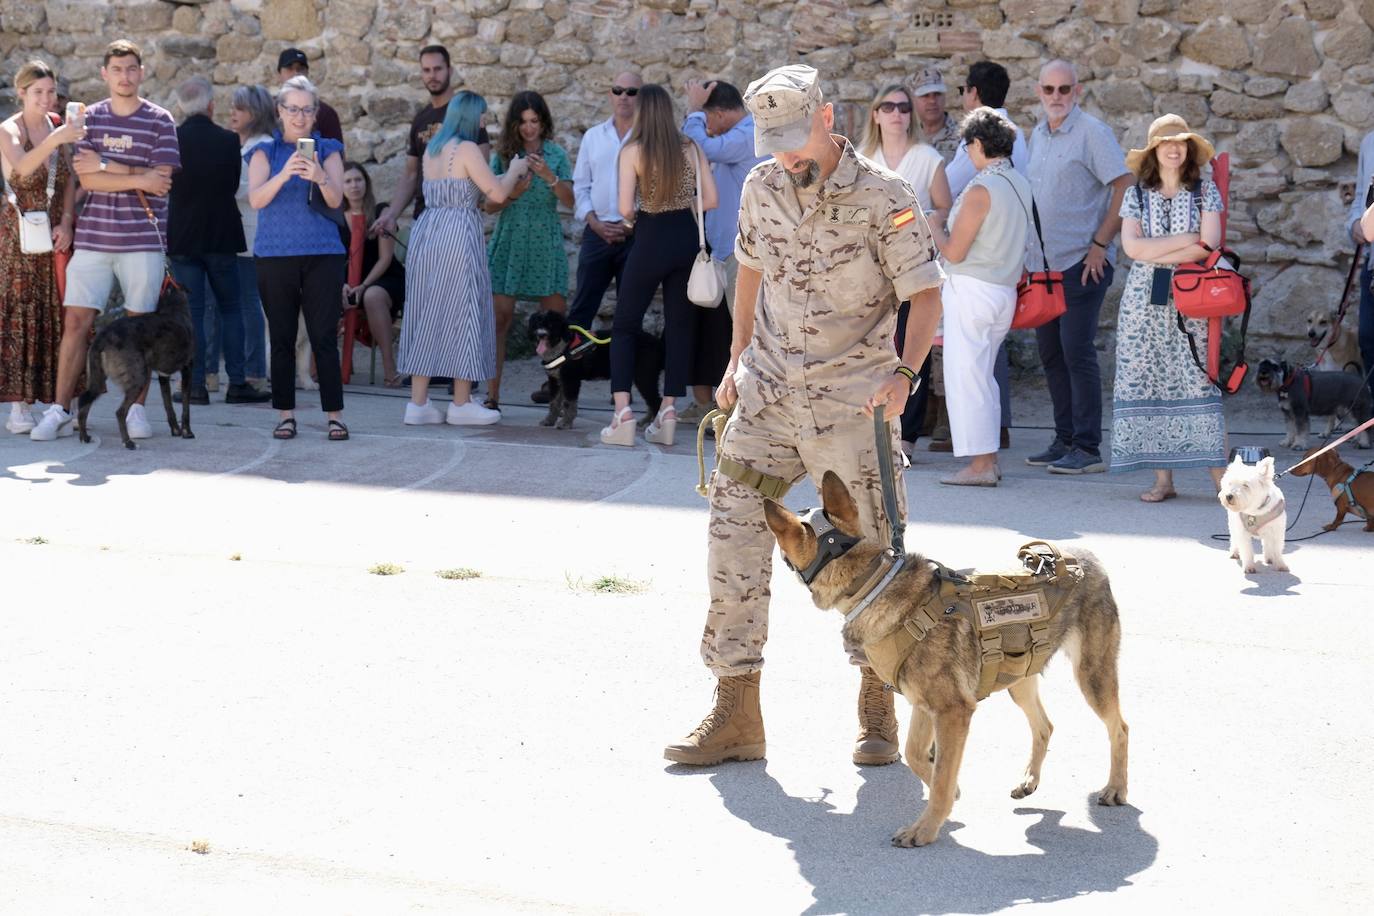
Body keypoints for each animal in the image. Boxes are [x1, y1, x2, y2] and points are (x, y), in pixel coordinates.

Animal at [77, 280, 196, 450]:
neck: (172, 308)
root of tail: (103, 336)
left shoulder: (163, 377)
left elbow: (168, 405)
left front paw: (175, 430)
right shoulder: (188, 369)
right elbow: (186, 406)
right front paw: (187, 432)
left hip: (98, 378)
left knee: (84, 400)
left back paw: (84, 436)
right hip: (138, 377)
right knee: (120, 412)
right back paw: (128, 442)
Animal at [527, 311, 662, 431]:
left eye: (551, 325)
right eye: (537, 325)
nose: (541, 335)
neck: (562, 346)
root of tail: (657, 342)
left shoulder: (571, 380)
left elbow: (568, 403)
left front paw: (565, 423)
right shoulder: (555, 380)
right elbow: (554, 402)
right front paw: (549, 421)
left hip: (644, 376)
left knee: (656, 401)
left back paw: (652, 427)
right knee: (651, 402)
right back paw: (644, 422)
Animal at [763, 477, 1126, 851]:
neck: (874, 585)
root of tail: (1086, 557)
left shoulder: (953, 712)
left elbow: (939, 779)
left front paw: (925, 829)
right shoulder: (926, 706)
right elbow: (916, 755)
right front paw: (953, 791)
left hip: (1092, 677)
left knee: (1120, 728)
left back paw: (1116, 788)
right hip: (1019, 680)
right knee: (1045, 726)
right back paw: (1029, 780)